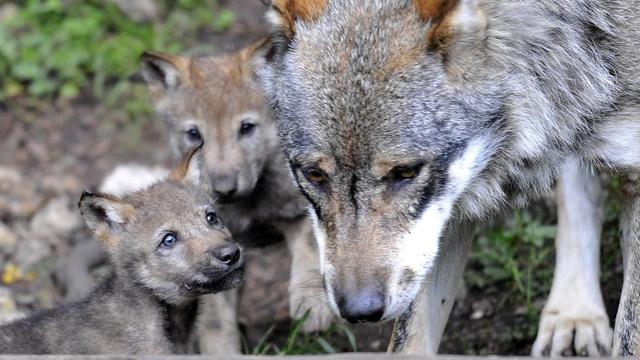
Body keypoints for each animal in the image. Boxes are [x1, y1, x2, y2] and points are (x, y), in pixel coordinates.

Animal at [258, 0, 640, 354]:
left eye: (405, 172)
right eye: (314, 175)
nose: (359, 310)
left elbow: (629, 337)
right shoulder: (444, 221)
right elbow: (409, 343)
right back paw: (574, 314)